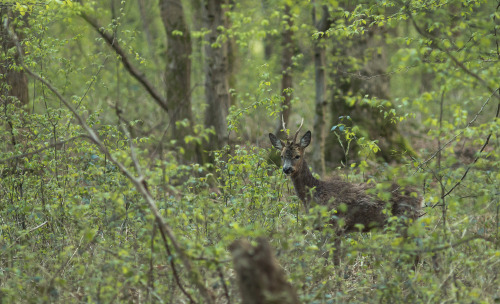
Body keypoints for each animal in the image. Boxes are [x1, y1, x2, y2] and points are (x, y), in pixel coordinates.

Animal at [270, 119, 422, 264]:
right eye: (282, 156)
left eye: (297, 155)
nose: (286, 169)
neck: (315, 194)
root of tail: (420, 196)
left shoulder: (335, 224)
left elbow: (332, 259)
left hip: (405, 219)